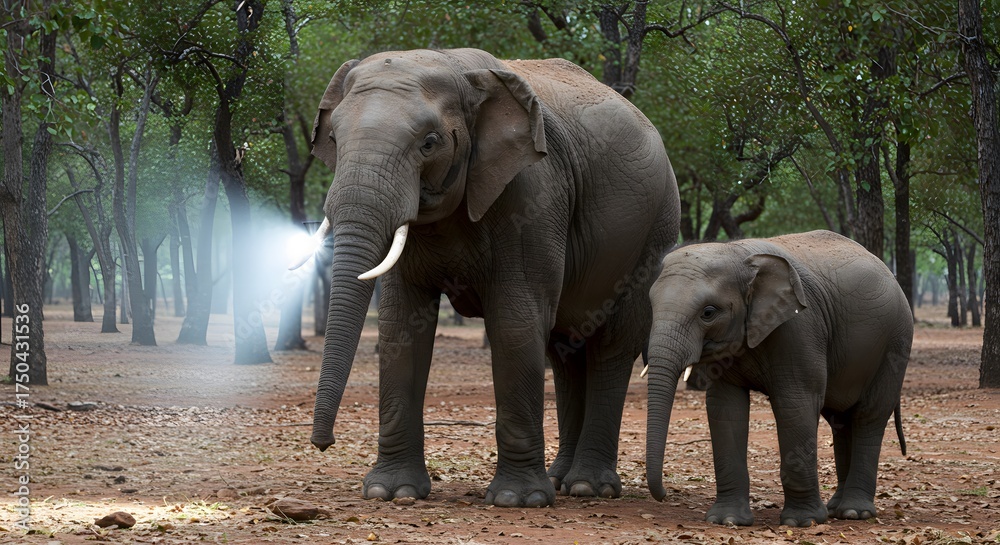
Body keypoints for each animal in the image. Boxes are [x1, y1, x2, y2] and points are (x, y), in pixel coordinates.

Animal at [297, 48, 680, 508]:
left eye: (429, 143)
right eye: (335, 141)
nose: (323, 444)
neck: (457, 69)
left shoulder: (533, 193)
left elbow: (516, 320)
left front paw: (518, 500)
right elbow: (401, 322)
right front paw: (392, 493)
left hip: (653, 233)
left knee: (610, 346)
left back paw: (589, 487)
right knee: (565, 351)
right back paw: (561, 481)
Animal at [644, 230, 911, 526]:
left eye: (708, 313)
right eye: (651, 307)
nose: (664, 494)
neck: (738, 254)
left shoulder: (800, 327)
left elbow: (795, 403)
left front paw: (802, 522)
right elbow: (725, 408)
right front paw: (727, 521)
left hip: (894, 344)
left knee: (868, 417)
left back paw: (855, 513)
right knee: (841, 420)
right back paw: (836, 510)